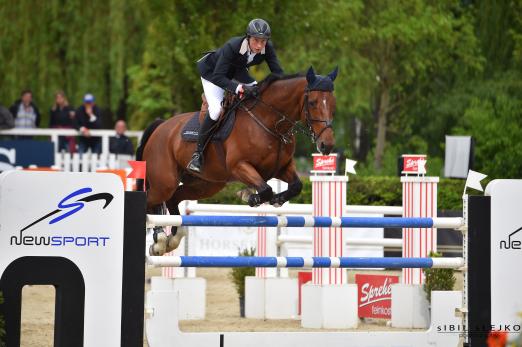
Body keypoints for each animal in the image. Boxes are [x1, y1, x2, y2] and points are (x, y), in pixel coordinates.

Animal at [135, 66, 338, 256]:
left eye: (332, 104)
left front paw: (276, 200)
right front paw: (251, 197)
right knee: (152, 201)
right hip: (165, 182)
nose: (326, 145)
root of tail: (160, 126)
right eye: (312, 103)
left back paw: (170, 240)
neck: (270, 123)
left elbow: (296, 185)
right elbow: (265, 189)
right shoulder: (239, 166)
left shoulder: (281, 168)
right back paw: (160, 238)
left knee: (173, 198)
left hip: (205, 185)